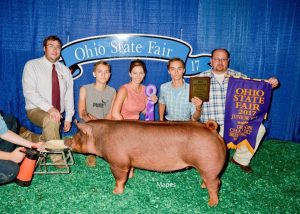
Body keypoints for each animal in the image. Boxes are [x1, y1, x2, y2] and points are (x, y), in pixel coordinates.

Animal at [65, 119, 225, 206]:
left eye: (78, 134)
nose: (66, 140)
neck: (100, 137)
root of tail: (211, 129)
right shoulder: (129, 161)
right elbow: (130, 170)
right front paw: (131, 177)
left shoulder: (118, 162)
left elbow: (119, 178)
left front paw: (115, 192)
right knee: (208, 180)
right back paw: (203, 186)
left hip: (208, 166)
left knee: (215, 183)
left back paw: (211, 203)